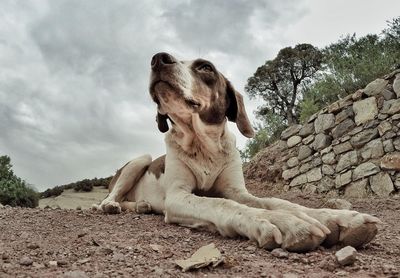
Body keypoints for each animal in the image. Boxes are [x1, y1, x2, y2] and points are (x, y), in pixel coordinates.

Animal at [95, 52, 380, 252]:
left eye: (205, 67)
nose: (158, 59)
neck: (204, 146)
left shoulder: (238, 191)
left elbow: (278, 201)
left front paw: (337, 218)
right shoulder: (178, 197)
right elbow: (222, 204)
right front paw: (281, 222)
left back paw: (142, 205)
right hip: (140, 160)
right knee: (110, 197)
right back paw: (111, 205)